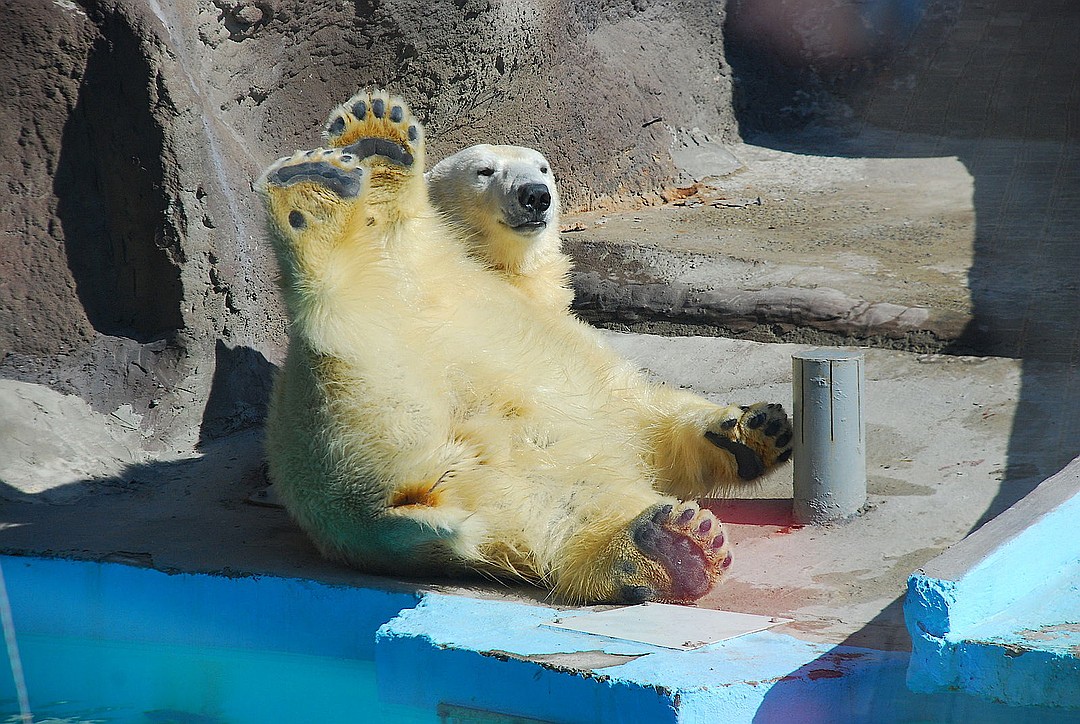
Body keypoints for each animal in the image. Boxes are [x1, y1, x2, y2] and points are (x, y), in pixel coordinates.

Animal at [258, 88, 790, 605]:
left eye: (543, 167)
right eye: (484, 170)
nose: (536, 195)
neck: (502, 273)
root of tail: (389, 512)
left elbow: (640, 415)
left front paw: (757, 429)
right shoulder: (412, 263)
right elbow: (387, 225)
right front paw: (376, 140)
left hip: (509, 480)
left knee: (566, 506)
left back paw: (665, 550)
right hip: (342, 401)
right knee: (359, 339)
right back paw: (313, 196)